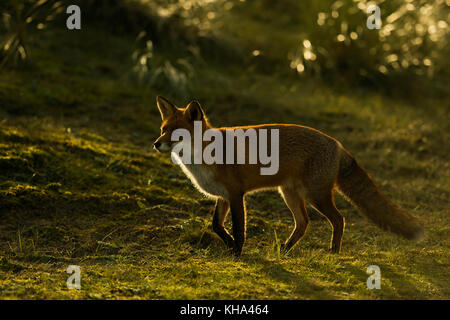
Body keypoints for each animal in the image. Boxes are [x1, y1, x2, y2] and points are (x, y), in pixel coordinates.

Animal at [153, 96, 424, 256]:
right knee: (303, 223)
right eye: (163, 129)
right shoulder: (223, 196)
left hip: (316, 195)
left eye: (176, 134)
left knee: (339, 220)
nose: (156, 144)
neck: (206, 154)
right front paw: (229, 244)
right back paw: (285, 249)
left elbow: (240, 227)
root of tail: (337, 144)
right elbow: (216, 225)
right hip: (290, 194)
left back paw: (333, 251)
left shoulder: (236, 194)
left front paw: (237, 251)